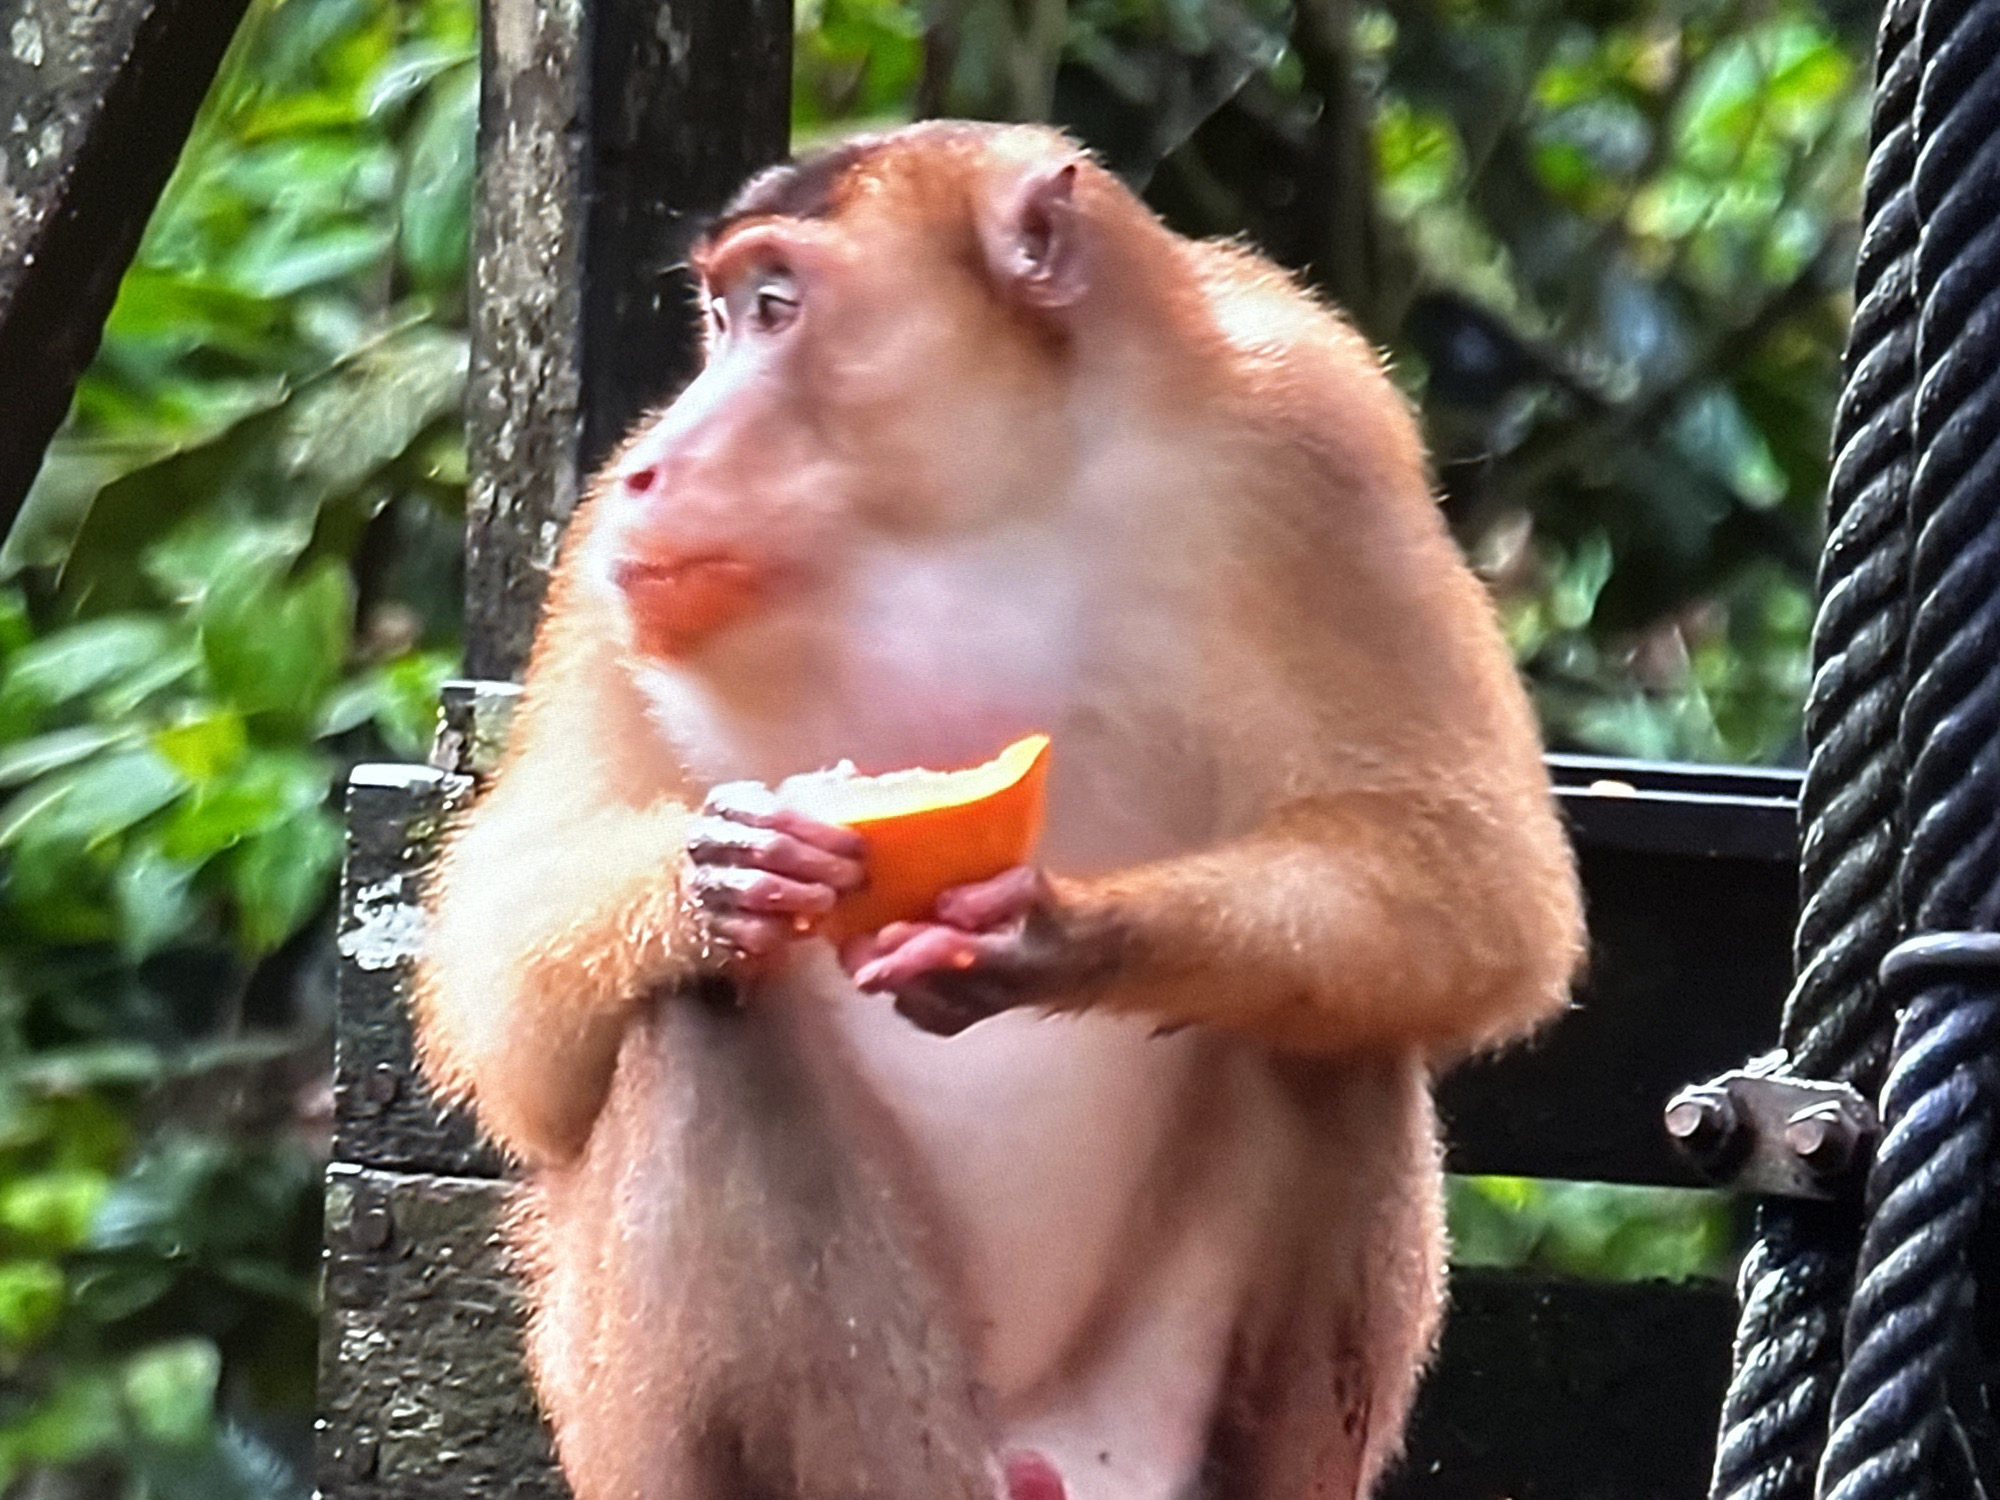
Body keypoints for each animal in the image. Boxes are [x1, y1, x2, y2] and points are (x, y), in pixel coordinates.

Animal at [416, 121, 1584, 1500]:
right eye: (721, 313)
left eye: (775, 306)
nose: (657, 462)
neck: (965, 507)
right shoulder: (611, 558)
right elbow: (509, 1004)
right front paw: (716, 874)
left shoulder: (1312, 433)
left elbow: (1471, 882)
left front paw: (1052, 933)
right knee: (696, 1028)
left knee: (1339, 1021)